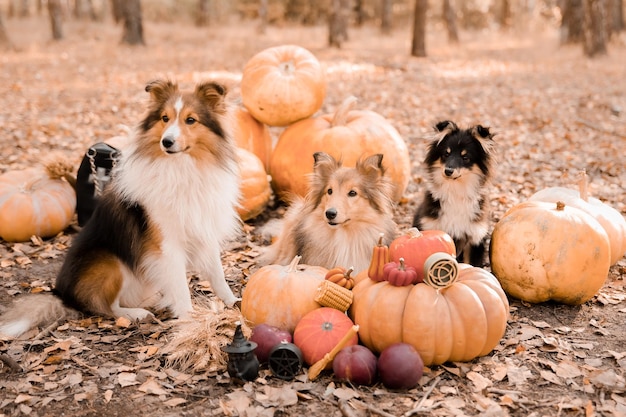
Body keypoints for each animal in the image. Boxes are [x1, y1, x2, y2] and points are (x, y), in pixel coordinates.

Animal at [0, 79, 240, 338]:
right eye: (165, 118)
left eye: (191, 120)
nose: (166, 142)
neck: (182, 168)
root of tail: (64, 296)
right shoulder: (166, 244)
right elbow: (180, 286)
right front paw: (190, 319)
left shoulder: (204, 228)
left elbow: (217, 274)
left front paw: (233, 302)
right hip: (110, 263)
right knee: (106, 307)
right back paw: (136, 314)